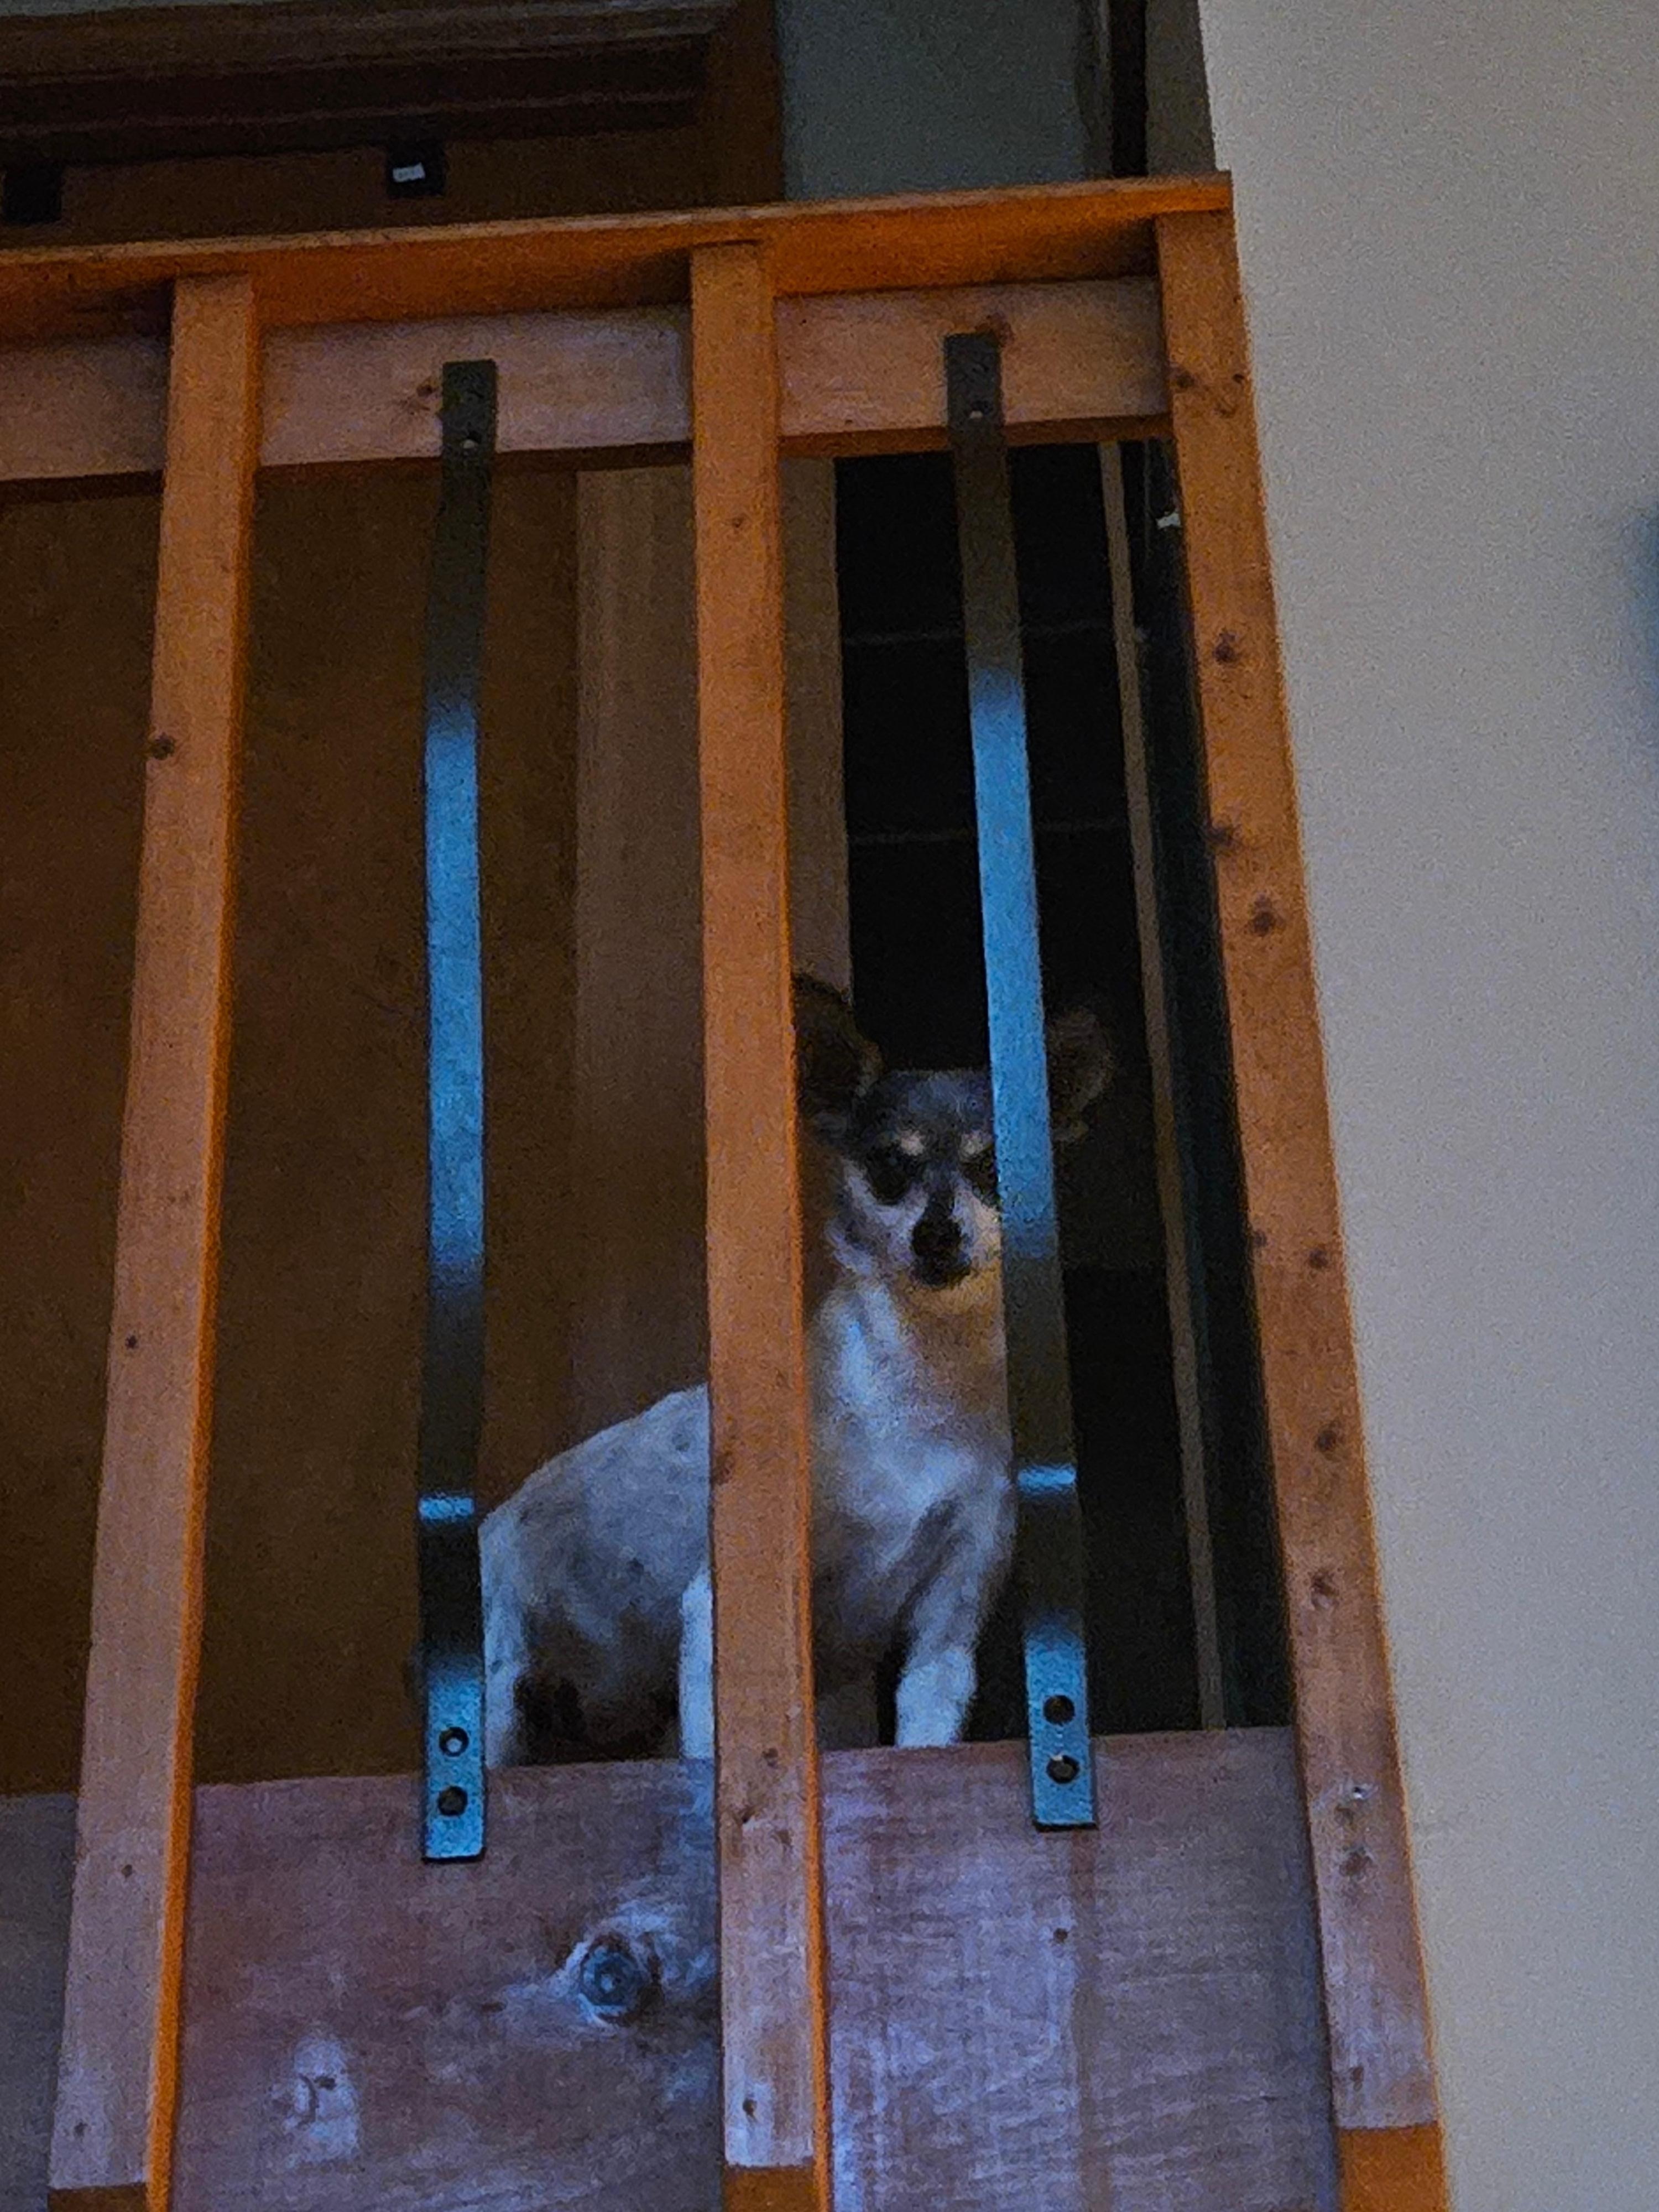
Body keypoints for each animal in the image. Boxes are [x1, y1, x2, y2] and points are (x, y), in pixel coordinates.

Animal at [480, 977, 1109, 1766]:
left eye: (993, 1169)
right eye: (889, 1168)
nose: (937, 1234)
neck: (919, 1386)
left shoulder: (947, 1627)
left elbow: (925, 1728)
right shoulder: (723, 1615)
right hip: (500, 1692)